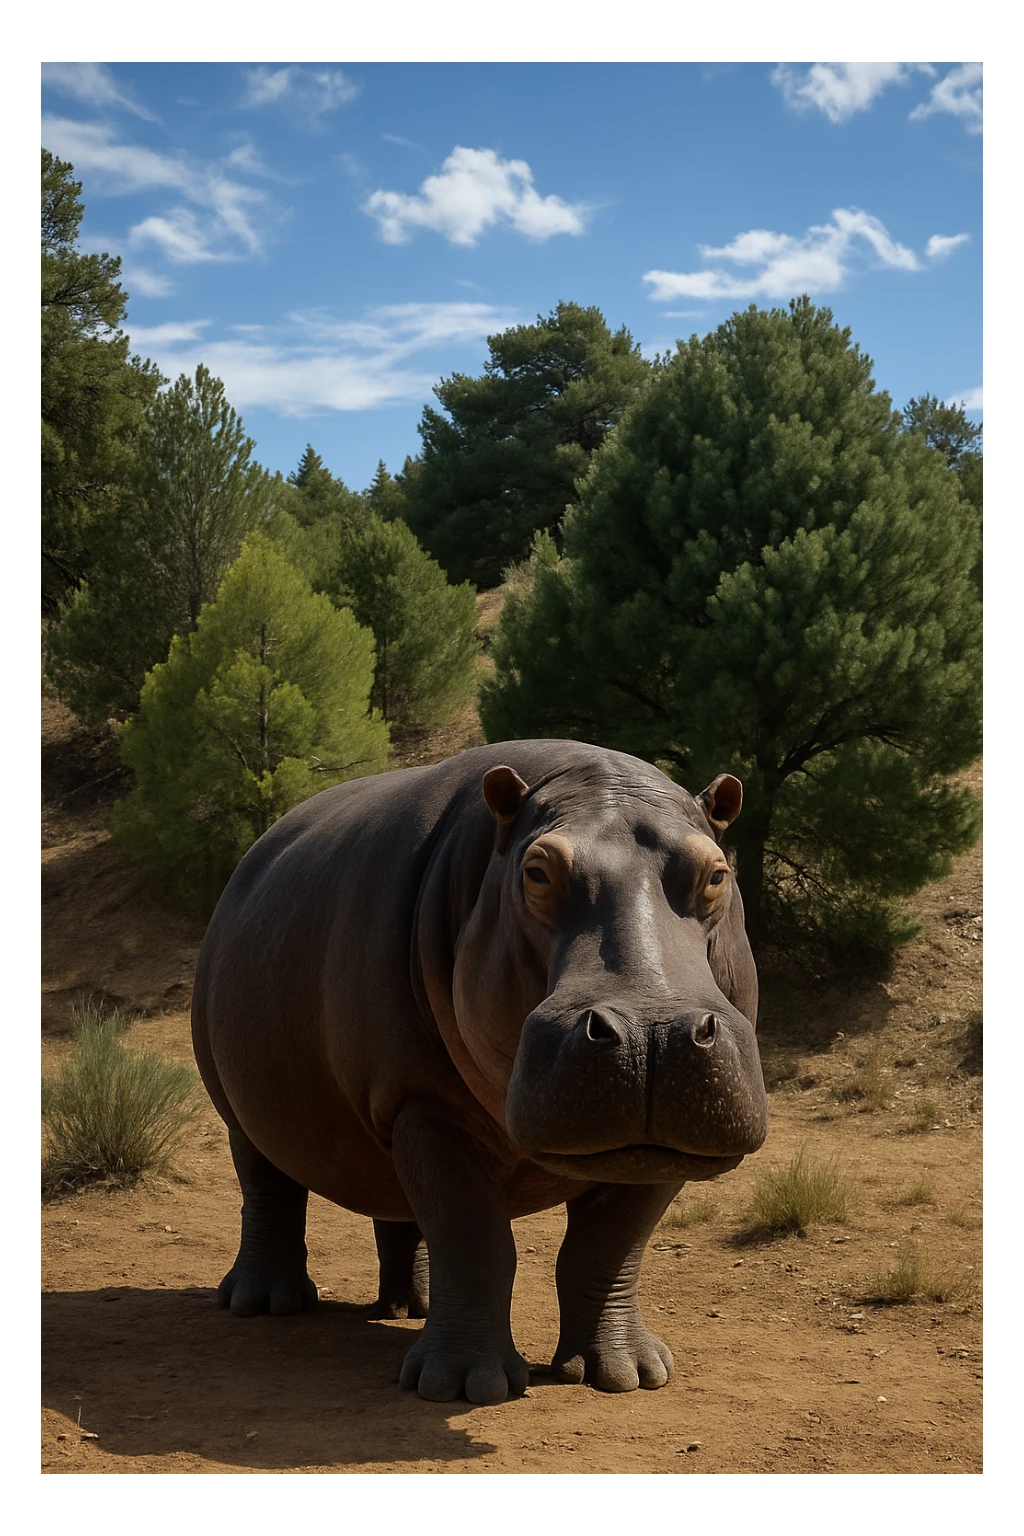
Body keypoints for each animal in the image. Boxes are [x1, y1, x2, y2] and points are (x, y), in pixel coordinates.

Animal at [191, 739, 767, 1405]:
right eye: (536, 871)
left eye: (716, 874)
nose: (652, 1035)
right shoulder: (426, 1104)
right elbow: (473, 1239)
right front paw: (464, 1387)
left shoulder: (661, 1152)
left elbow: (608, 1248)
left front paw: (629, 1376)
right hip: (238, 1107)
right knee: (268, 1188)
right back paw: (265, 1304)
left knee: (398, 1205)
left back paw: (409, 1308)